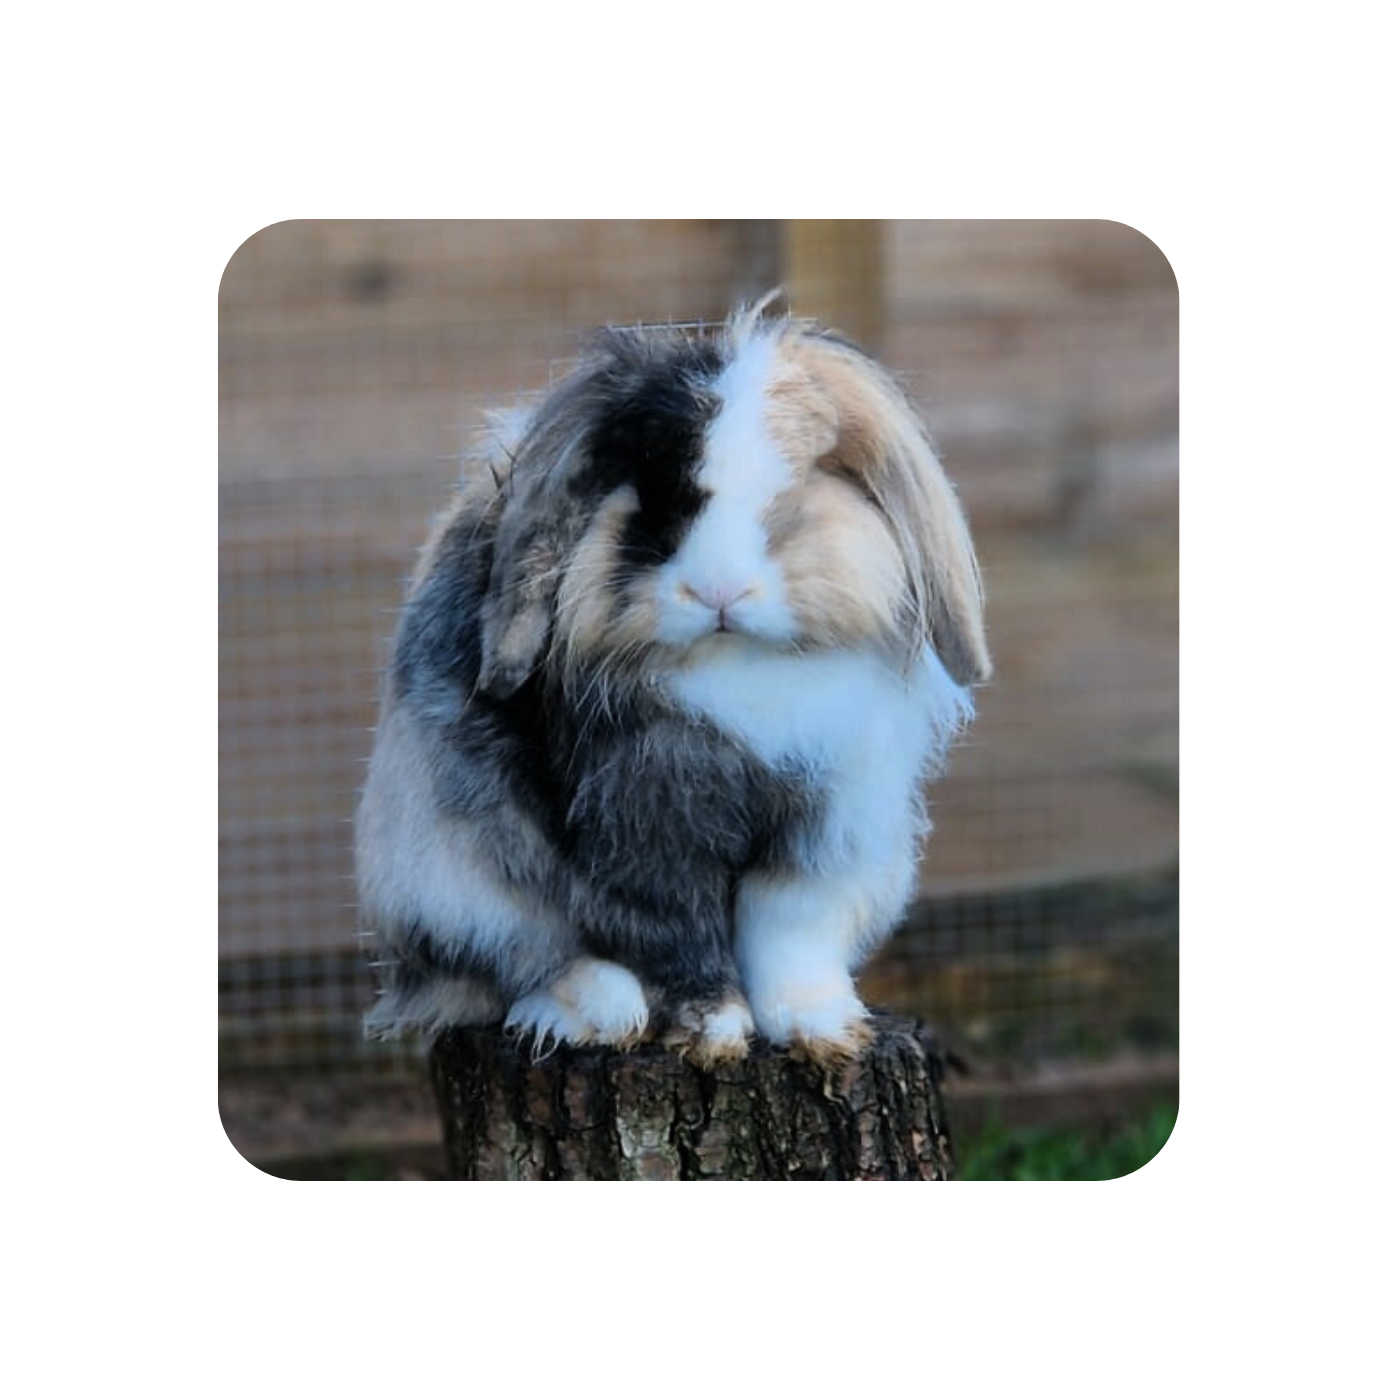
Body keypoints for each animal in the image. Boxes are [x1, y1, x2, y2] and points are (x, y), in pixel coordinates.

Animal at [355, 294, 991, 1067]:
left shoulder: (824, 826)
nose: (719, 592)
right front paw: (715, 1033)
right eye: (654, 494)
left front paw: (821, 1029)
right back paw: (598, 1010)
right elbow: (676, 938)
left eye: (795, 488)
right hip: (452, 876)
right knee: (513, 967)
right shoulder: (643, 834)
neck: (736, 669)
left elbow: (790, 931)